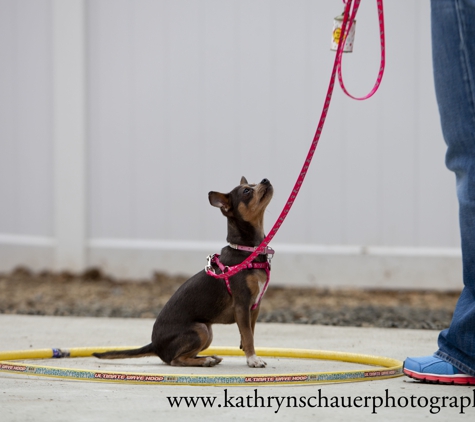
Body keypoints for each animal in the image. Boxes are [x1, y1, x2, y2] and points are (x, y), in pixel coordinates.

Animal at [93, 176, 274, 368]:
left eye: (254, 184)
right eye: (247, 191)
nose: (266, 179)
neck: (248, 251)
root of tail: (155, 345)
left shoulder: (254, 307)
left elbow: (249, 333)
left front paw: (249, 354)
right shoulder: (242, 305)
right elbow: (248, 336)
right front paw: (253, 359)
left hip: (207, 332)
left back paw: (208, 358)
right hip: (201, 329)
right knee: (175, 360)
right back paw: (206, 360)